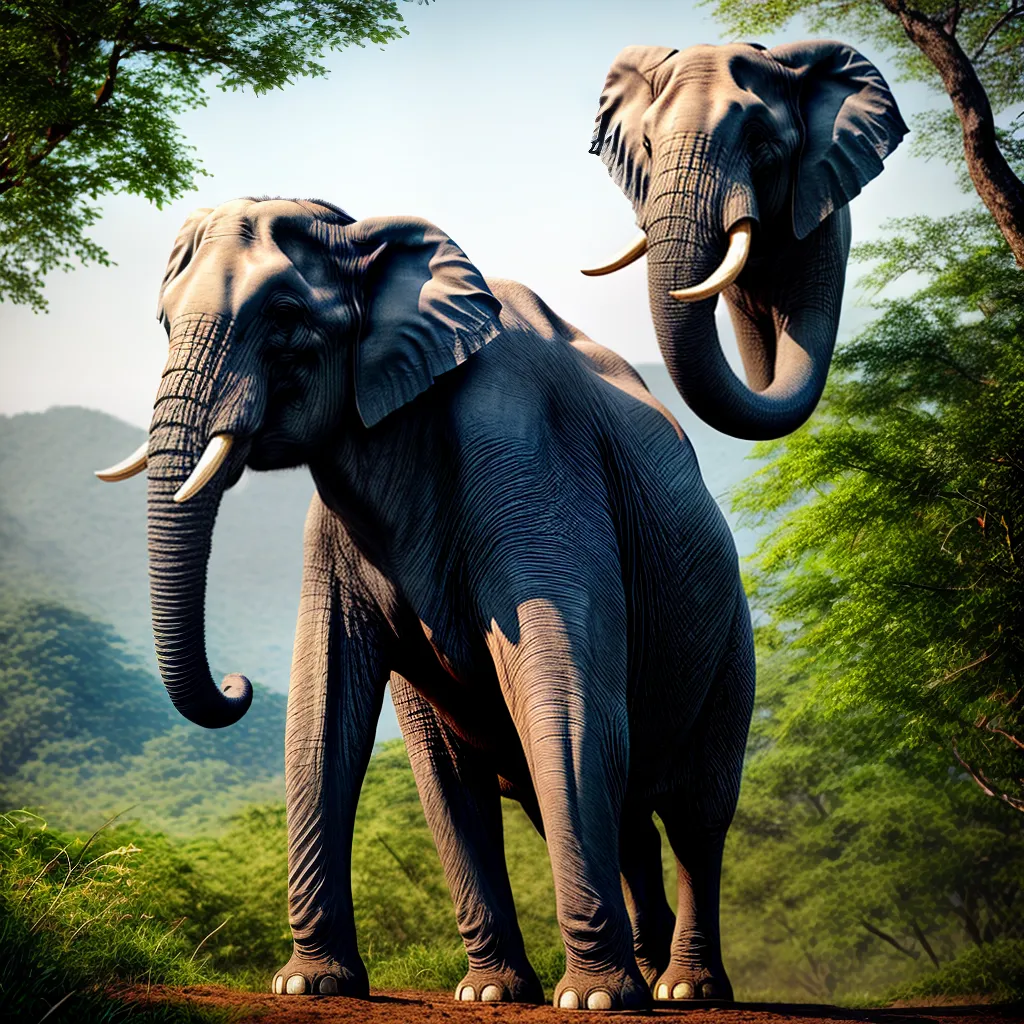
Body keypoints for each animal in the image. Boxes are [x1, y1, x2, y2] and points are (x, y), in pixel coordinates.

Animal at [96, 197, 755, 1010]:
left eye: (283, 317)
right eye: (161, 321)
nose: (236, 684)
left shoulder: (529, 452)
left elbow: (559, 691)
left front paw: (592, 1000)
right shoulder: (337, 517)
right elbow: (332, 714)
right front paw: (322, 985)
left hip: (731, 638)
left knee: (697, 812)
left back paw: (682, 990)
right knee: (599, 804)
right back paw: (640, 971)